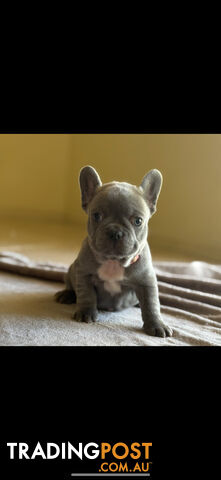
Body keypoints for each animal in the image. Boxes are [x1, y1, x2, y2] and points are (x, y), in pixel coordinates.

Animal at [55, 166, 173, 338]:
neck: (113, 261)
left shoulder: (147, 281)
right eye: (96, 216)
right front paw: (86, 313)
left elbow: (151, 305)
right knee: (71, 285)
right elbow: (87, 295)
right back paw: (66, 295)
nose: (115, 232)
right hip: (72, 269)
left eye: (138, 221)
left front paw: (156, 325)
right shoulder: (83, 274)